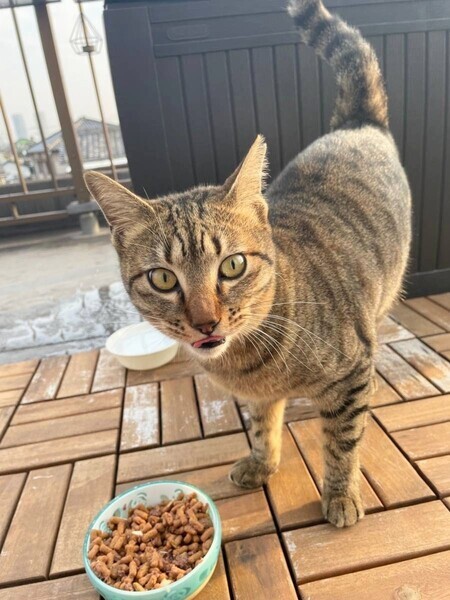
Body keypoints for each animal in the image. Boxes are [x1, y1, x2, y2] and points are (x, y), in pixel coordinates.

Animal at [85, 0, 411, 527]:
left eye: (232, 266)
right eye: (162, 278)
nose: (205, 321)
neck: (249, 361)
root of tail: (355, 123)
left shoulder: (353, 371)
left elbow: (342, 443)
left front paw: (340, 494)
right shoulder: (257, 396)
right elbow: (261, 425)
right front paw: (262, 461)